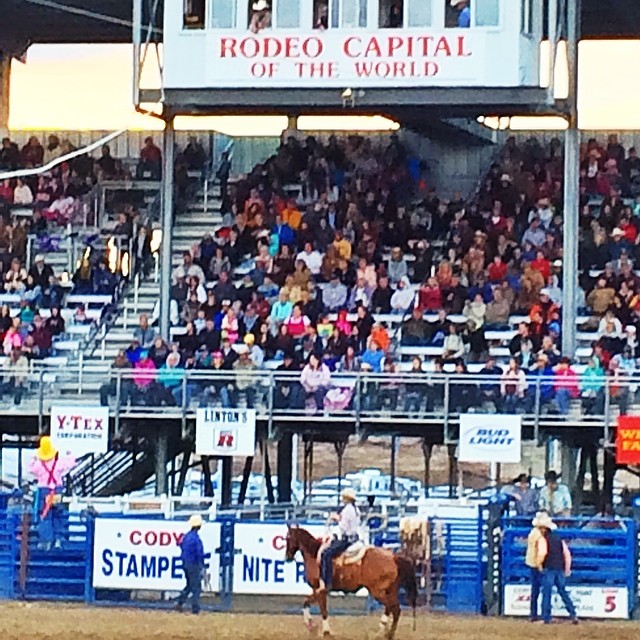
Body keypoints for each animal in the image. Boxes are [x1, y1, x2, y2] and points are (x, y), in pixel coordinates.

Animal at [284, 528, 416, 636]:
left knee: (393, 608)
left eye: (288, 538)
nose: (287, 557)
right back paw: (385, 632)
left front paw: (323, 631)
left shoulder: (320, 589)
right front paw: (312, 627)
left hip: (377, 591)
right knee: (393, 609)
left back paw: (385, 633)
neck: (315, 555)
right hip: (390, 590)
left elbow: (320, 609)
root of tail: (393, 557)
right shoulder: (317, 590)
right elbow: (307, 603)